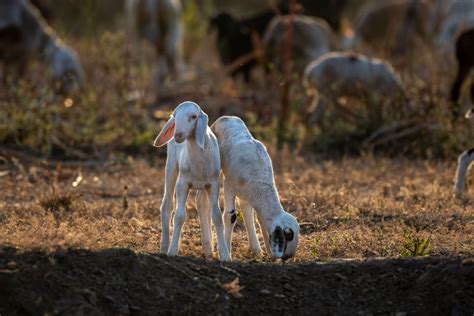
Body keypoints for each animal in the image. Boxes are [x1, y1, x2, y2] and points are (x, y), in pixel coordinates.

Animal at [154, 102, 231, 262]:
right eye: (175, 115)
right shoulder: (183, 183)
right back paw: (164, 246)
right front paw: (173, 251)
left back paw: (208, 248)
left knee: (201, 205)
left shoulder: (214, 184)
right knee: (167, 205)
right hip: (171, 164)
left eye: (194, 116)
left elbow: (216, 217)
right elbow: (179, 216)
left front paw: (225, 255)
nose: (177, 135)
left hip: (203, 185)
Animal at [211, 116, 300, 260]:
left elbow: (260, 218)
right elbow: (230, 216)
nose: (288, 256)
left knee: (246, 210)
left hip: (245, 195)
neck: (260, 181)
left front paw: (269, 252)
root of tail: (226, 118)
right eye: (288, 235)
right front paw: (226, 254)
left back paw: (256, 249)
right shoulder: (229, 186)